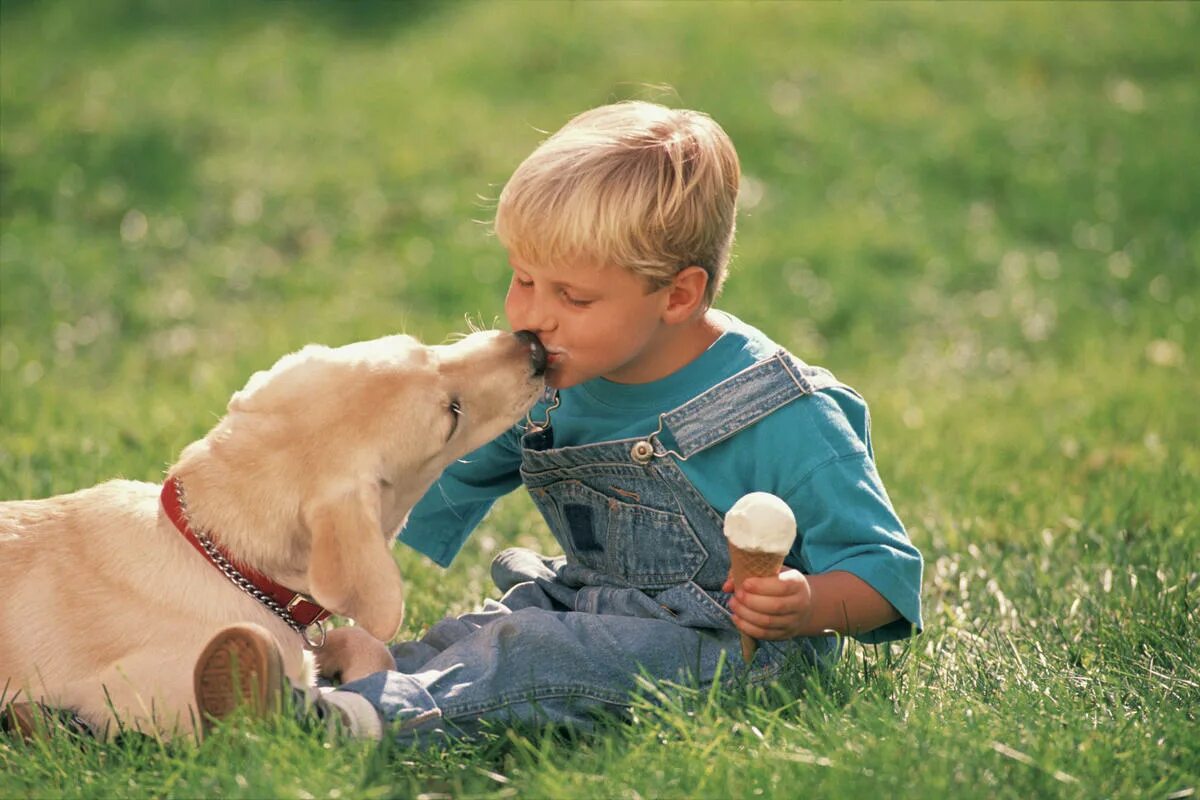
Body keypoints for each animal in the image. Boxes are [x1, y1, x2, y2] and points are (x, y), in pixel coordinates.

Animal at [0, 331, 544, 738]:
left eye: (424, 348)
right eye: (452, 415)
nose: (535, 345)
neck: (217, 554)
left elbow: (361, 640)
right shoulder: (149, 701)